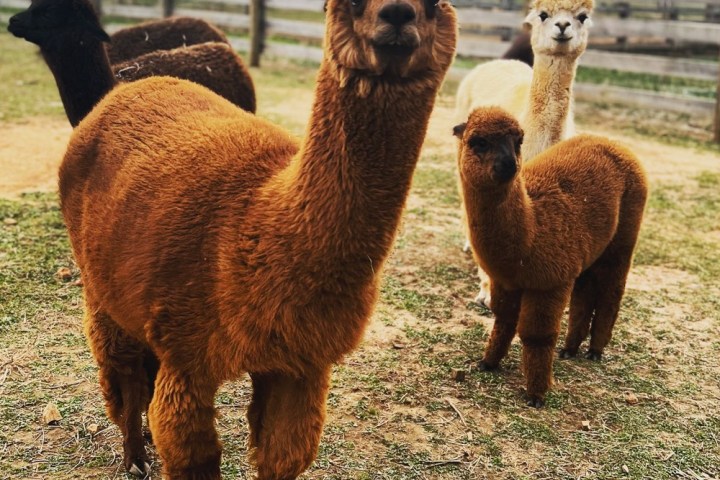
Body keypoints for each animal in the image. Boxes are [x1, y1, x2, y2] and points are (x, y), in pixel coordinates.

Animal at [59, 0, 458, 478]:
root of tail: (127, 89)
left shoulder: (300, 366)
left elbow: (283, 456)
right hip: (100, 286)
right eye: (348, 5)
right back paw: (134, 457)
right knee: (123, 378)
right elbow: (191, 453)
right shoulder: (187, 355)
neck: (261, 219)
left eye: (434, 6)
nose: (397, 15)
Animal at [454, 107, 648, 407]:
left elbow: (537, 335)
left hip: (623, 237)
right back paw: (570, 348)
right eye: (479, 141)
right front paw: (488, 362)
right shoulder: (507, 281)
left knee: (612, 291)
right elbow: (504, 319)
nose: (510, 165)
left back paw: (595, 350)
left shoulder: (549, 282)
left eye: (519, 141)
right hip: (587, 253)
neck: (531, 229)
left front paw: (536, 394)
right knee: (584, 294)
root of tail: (614, 143)